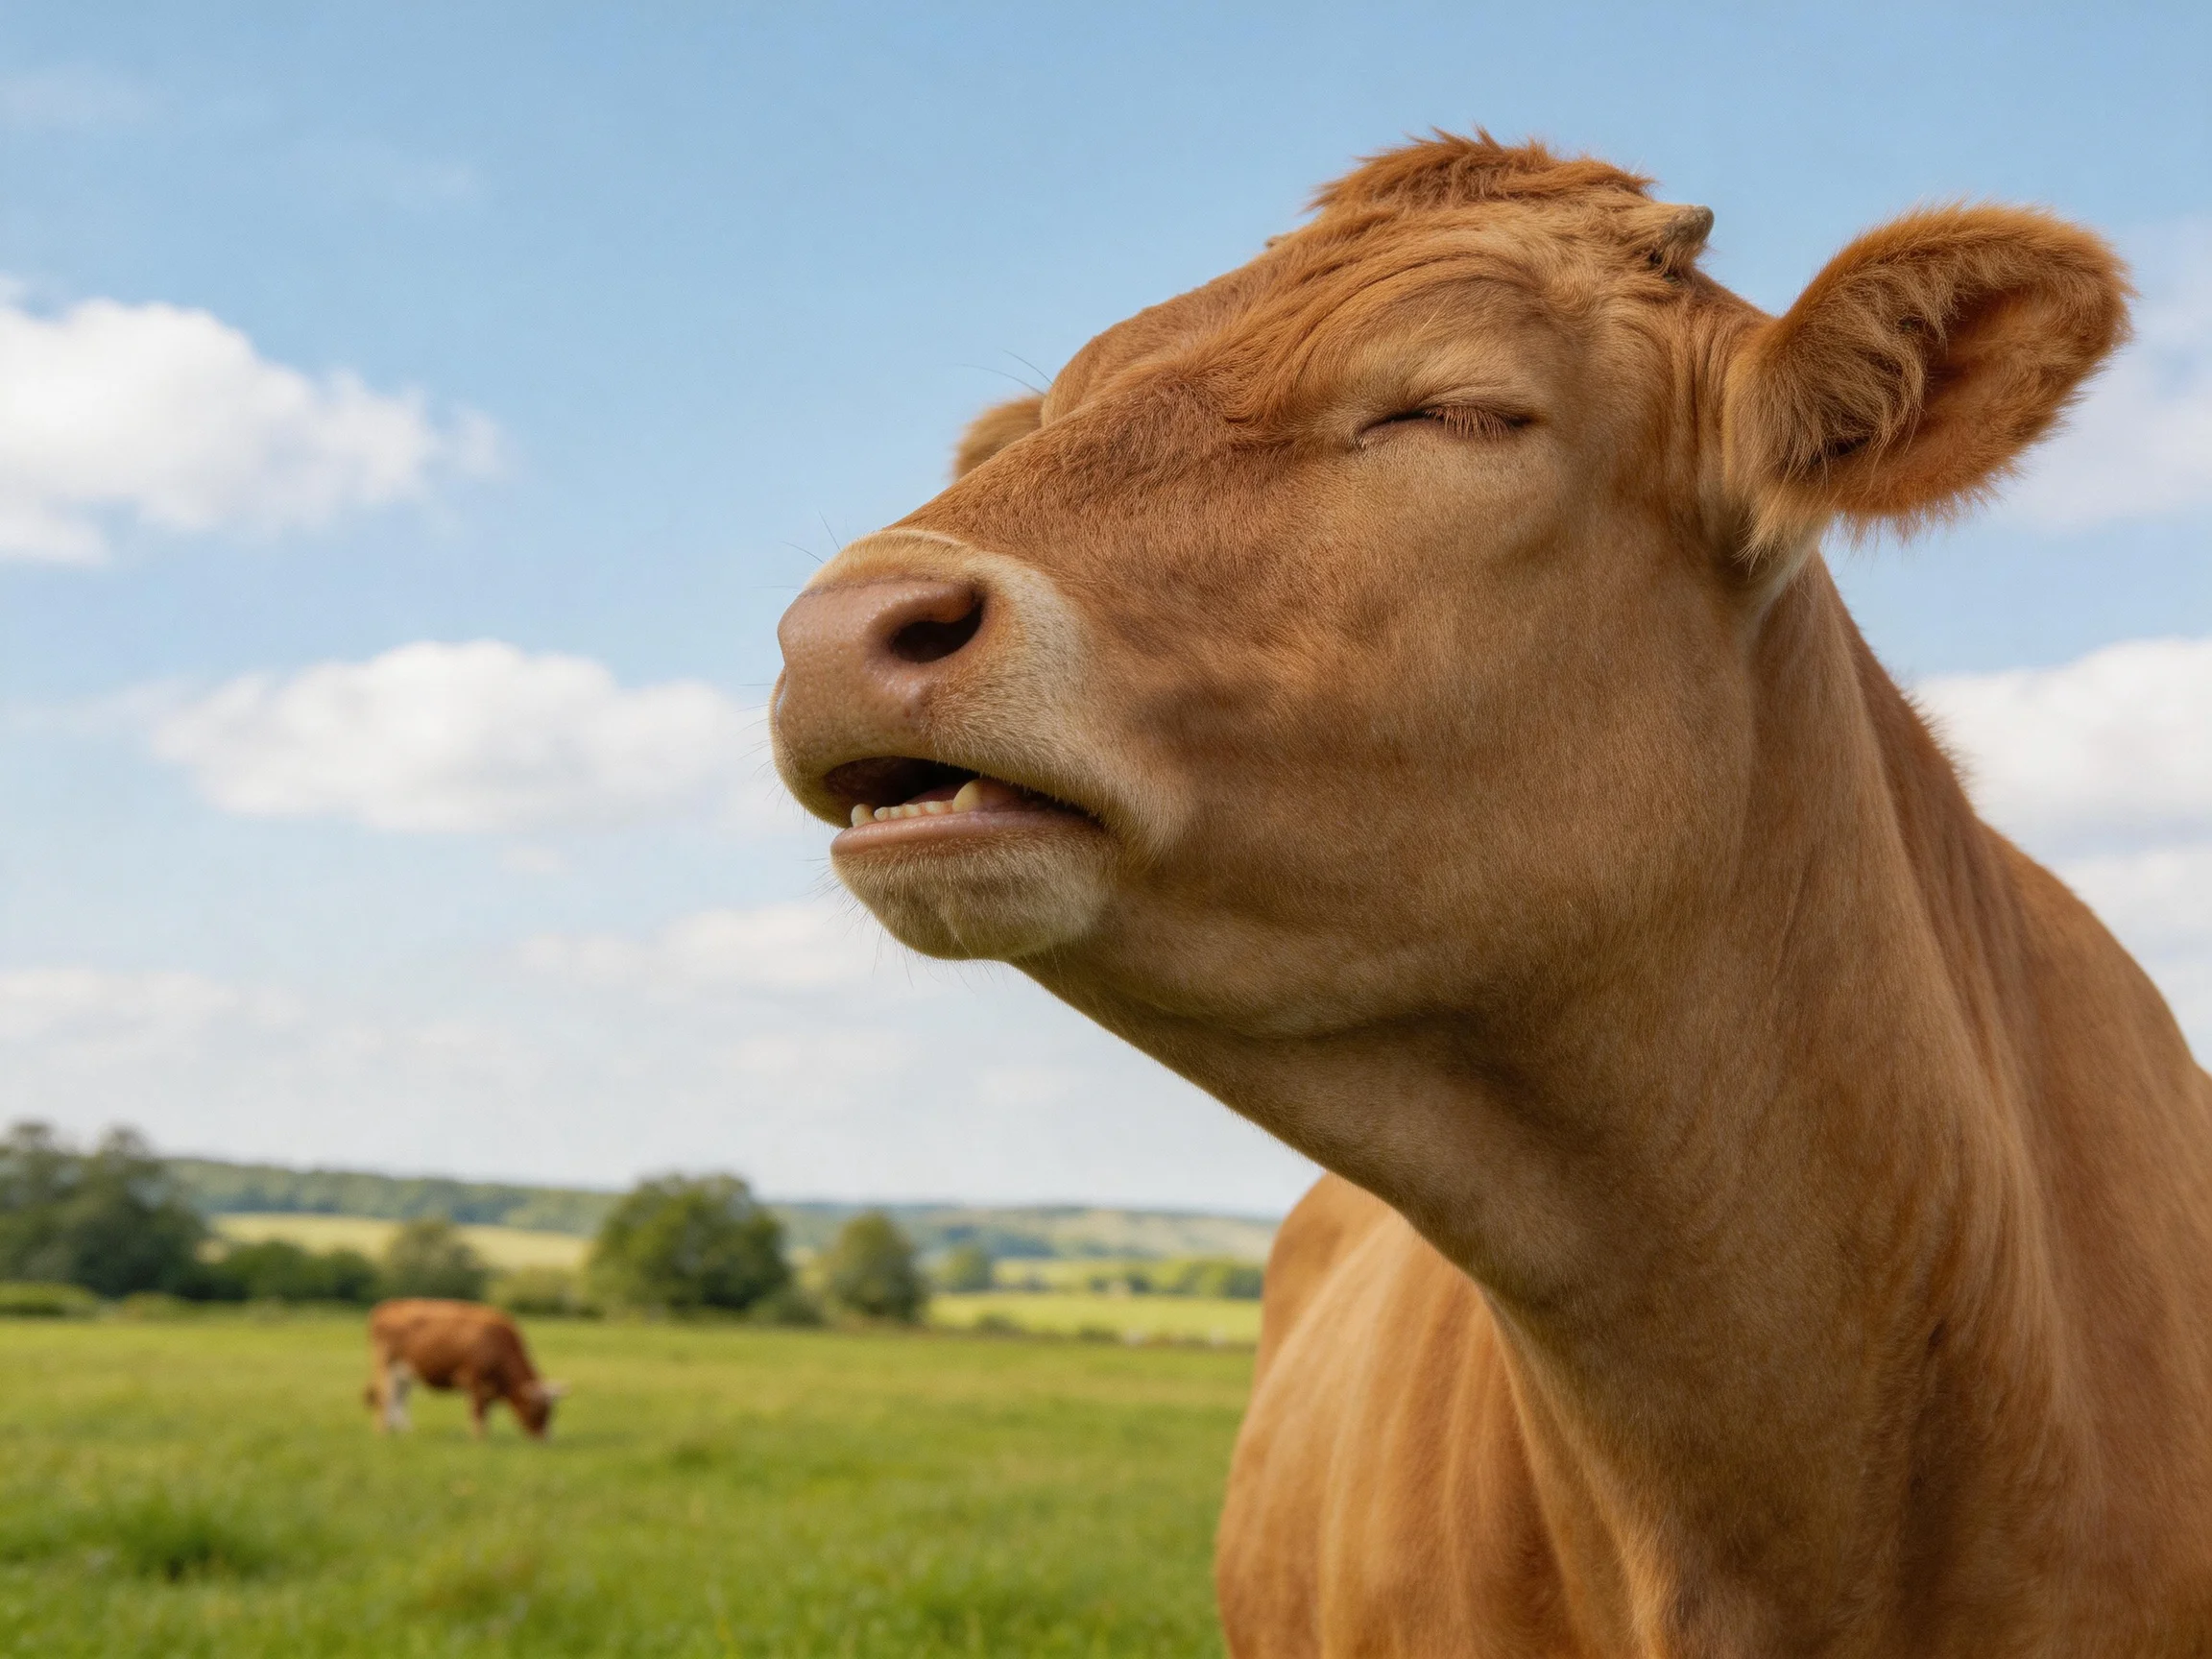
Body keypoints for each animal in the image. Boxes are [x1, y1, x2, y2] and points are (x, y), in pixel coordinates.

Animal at [364, 1298, 567, 1440]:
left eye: (553, 1411)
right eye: (538, 1410)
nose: (546, 1439)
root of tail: (389, 1305)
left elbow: (485, 1412)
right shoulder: (473, 1379)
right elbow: (478, 1412)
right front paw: (480, 1440)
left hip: (405, 1371)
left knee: (400, 1398)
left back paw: (403, 1431)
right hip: (386, 1366)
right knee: (386, 1397)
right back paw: (383, 1432)